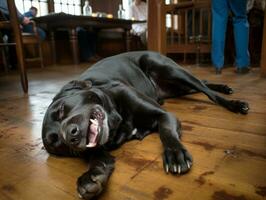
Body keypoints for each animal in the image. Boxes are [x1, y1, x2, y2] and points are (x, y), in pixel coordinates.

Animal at [42, 50, 249, 199]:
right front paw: (92, 176)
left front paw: (175, 153)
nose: (71, 135)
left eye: (61, 110)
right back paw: (223, 87)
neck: (117, 123)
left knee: (204, 88)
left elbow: (166, 131)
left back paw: (233, 102)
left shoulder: (164, 115)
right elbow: (98, 158)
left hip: (170, 69)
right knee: (200, 84)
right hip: (176, 87)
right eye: (56, 142)